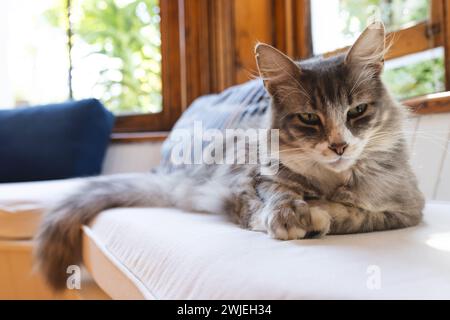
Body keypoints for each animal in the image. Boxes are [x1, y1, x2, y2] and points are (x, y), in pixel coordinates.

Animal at [36, 22, 426, 292]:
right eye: (309, 118)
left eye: (357, 110)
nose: (339, 146)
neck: (329, 181)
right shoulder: (251, 183)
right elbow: (274, 198)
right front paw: (291, 215)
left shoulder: (404, 210)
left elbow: (353, 213)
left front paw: (319, 212)